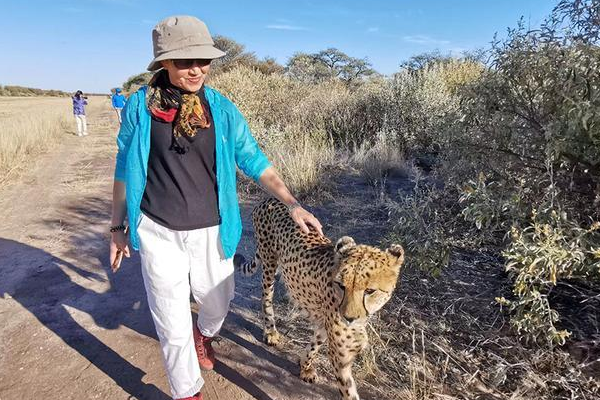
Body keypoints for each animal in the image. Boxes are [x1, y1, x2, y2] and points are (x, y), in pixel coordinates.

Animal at [237, 198, 406, 398]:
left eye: (370, 290)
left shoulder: (327, 324)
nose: (348, 318)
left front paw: (305, 366)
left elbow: (316, 342)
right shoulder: (341, 356)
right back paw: (270, 332)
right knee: (266, 296)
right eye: (342, 285)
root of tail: (270, 199)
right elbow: (348, 390)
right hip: (269, 262)